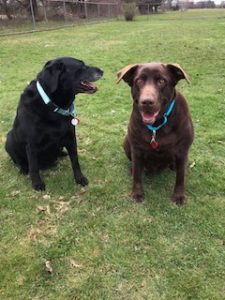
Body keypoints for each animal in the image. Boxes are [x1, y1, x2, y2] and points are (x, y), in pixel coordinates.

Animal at [5, 57, 103, 191]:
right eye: (82, 66)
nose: (102, 70)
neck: (53, 106)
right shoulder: (31, 144)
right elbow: (33, 167)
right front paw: (37, 184)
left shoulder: (71, 138)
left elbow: (75, 161)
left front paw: (79, 178)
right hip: (9, 139)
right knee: (21, 161)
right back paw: (24, 169)